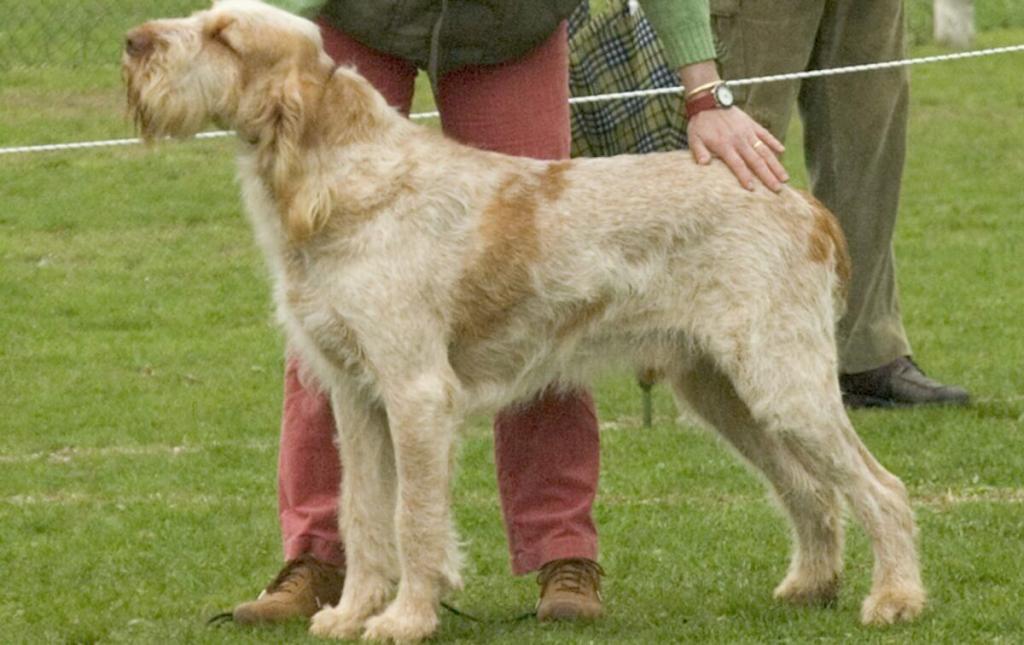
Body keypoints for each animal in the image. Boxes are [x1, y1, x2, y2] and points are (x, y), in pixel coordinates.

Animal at [123, 1, 925, 642]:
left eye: (224, 37)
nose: (133, 41)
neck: (348, 180)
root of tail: (804, 203)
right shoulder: (355, 396)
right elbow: (363, 514)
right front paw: (350, 613)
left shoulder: (416, 393)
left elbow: (413, 517)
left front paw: (406, 618)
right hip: (722, 392)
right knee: (812, 491)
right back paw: (811, 586)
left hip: (782, 384)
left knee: (881, 489)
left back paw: (895, 598)